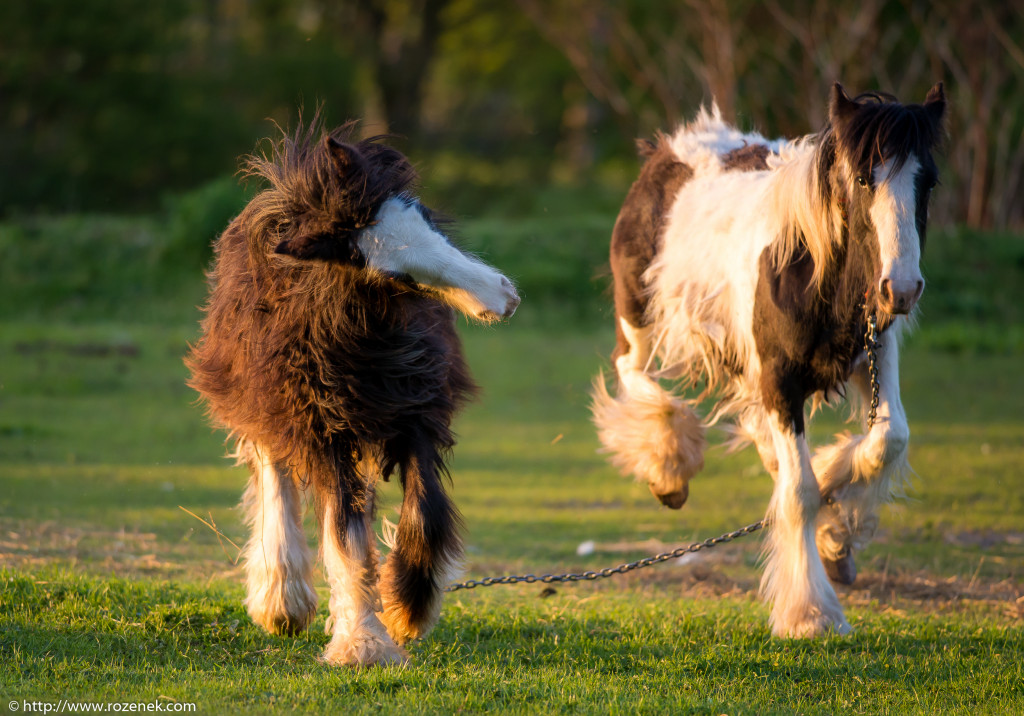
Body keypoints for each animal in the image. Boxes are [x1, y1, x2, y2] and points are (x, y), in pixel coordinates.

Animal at [186, 118, 520, 667]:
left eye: (422, 214)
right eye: (392, 272)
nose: (504, 297)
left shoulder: (414, 413)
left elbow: (425, 511)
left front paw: (406, 609)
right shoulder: (322, 429)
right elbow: (343, 529)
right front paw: (363, 642)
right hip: (266, 407)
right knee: (275, 476)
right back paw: (283, 602)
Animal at [593, 85, 942, 639]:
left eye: (927, 181)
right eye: (864, 178)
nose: (902, 289)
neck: (806, 263)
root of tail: (669, 148)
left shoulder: (876, 351)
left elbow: (888, 439)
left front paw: (837, 526)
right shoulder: (779, 379)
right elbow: (799, 491)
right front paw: (811, 614)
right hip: (641, 319)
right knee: (633, 372)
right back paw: (670, 469)